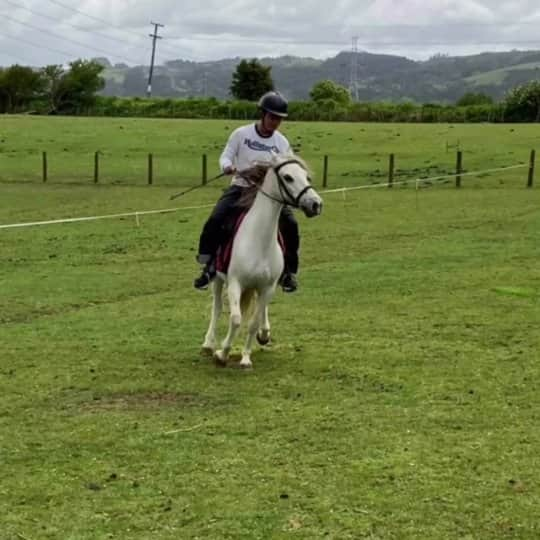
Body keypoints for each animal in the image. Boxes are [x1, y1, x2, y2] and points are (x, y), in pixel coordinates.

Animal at [201, 154, 320, 370]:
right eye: (288, 177)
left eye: (306, 176)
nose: (315, 204)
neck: (259, 240)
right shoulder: (235, 283)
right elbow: (236, 319)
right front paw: (222, 353)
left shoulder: (268, 286)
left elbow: (253, 322)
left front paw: (246, 358)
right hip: (218, 280)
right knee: (217, 308)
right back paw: (208, 344)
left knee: (259, 309)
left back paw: (264, 333)